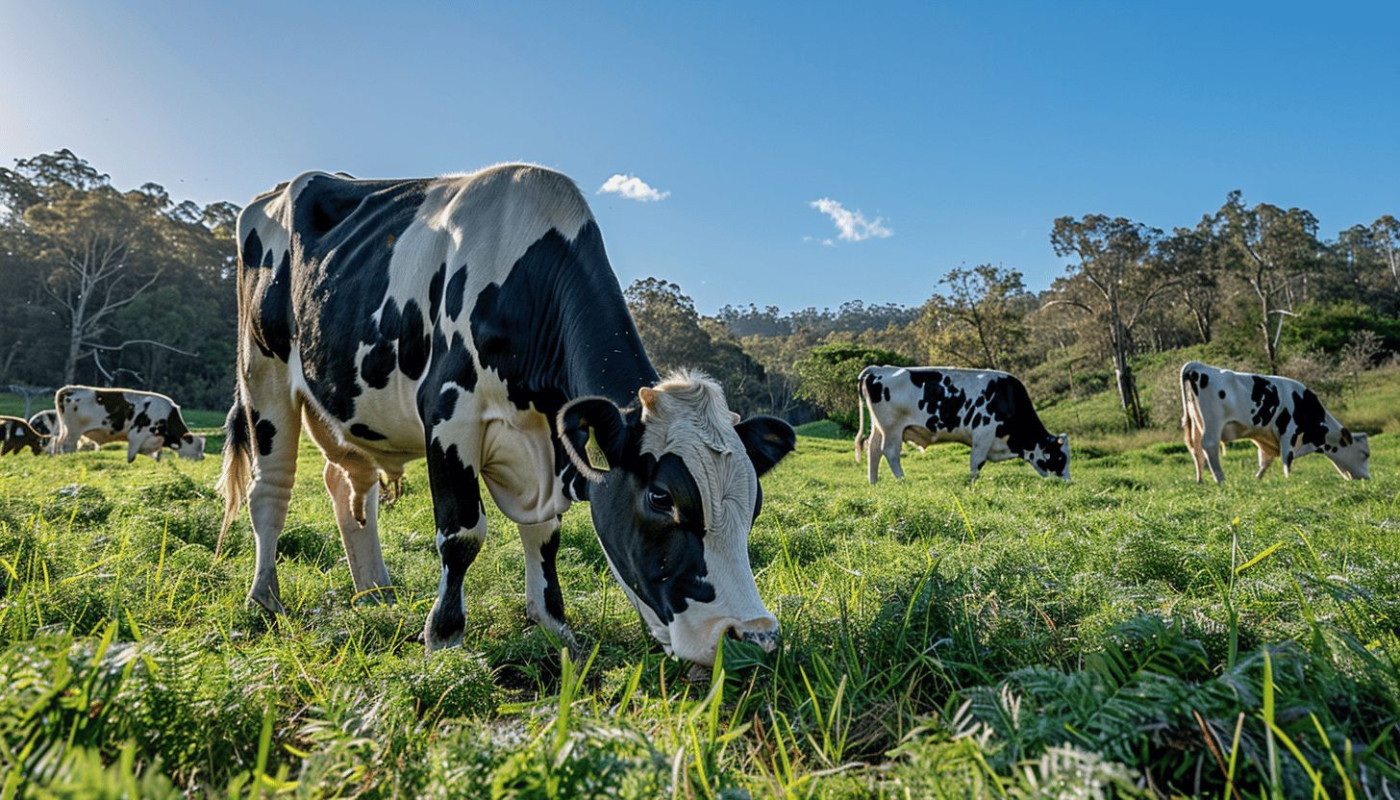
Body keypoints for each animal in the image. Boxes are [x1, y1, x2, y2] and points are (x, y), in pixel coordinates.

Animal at [54, 386, 207, 462]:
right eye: (197, 447)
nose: (202, 458)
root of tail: (69, 389)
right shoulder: (137, 434)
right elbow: (132, 457)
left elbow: (158, 454)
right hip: (73, 431)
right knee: (68, 447)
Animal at [217, 164, 796, 668]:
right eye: (660, 498)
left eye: (756, 504)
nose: (753, 636)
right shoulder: (449, 417)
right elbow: (462, 534)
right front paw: (444, 639)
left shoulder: (554, 443)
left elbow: (545, 536)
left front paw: (555, 625)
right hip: (261, 375)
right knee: (270, 490)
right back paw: (264, 599)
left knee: (348, 487)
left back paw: (376, 592)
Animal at [855, 366, 1070, 483]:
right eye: (1060, 458)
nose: (1067, 482)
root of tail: (879, 369)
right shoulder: (983, 434)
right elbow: (977, 464)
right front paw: (972, 487)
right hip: (892, 428)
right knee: (889, 451)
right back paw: (902, 480)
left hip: (879, 427)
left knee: (873, 449)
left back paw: (873, 482)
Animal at [1180, 361, 1370, 483]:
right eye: (1364, 454)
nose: (1367, 478)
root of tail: (1199, 366)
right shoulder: (1288, 431)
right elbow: (1287, 459)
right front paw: (1288, 481)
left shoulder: (1265, 435)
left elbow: (1266, 460)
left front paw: (1257, 480)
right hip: (1213, 423)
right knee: (1209, 446)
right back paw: (1220, 480)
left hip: (1196, 423)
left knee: (1196, 449)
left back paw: (1200, 480)